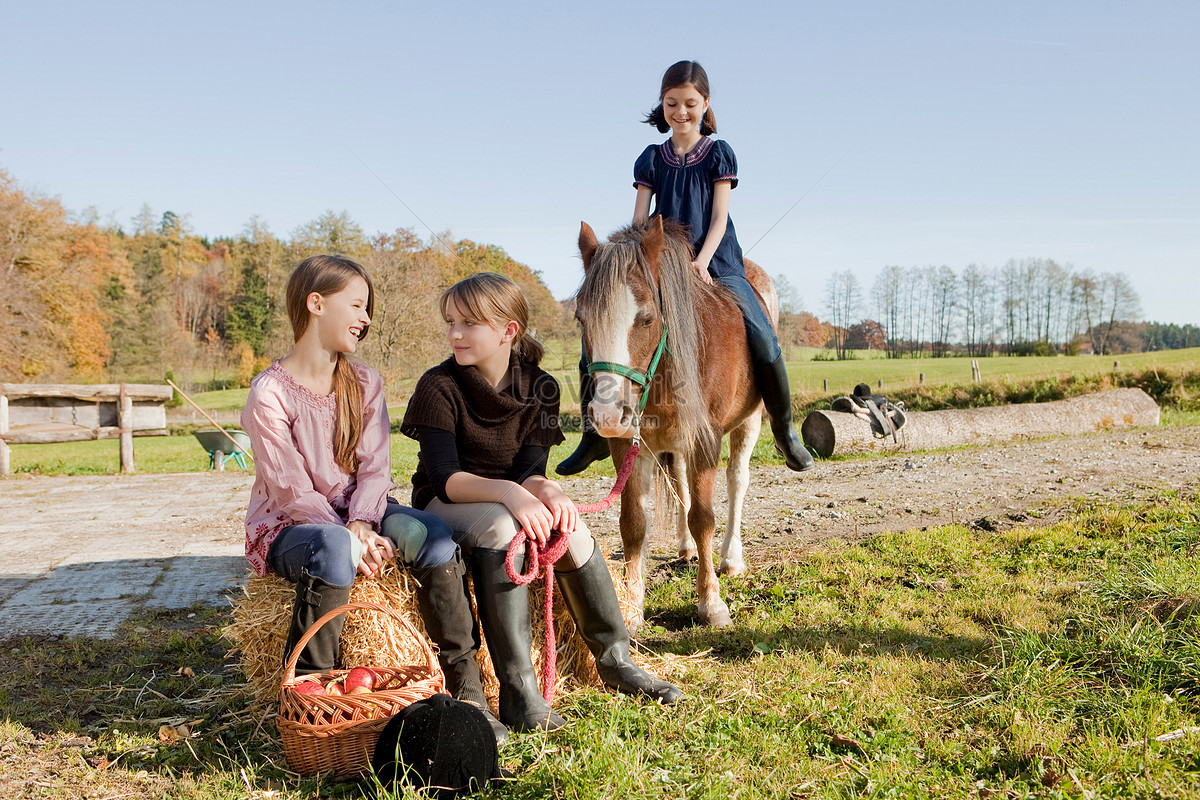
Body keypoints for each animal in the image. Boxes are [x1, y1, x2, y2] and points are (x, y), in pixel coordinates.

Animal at [571, 215, 777, 628]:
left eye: (647, 318)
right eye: (581, 319)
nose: (607, 415)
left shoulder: (705, 439)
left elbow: (704, 518)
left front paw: (711, 603)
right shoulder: (629, 445)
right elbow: (633, 524)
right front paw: (633, 608)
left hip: (749, 421)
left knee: (737, 481)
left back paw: (731, 558)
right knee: (680, 481)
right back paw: (685, 549)